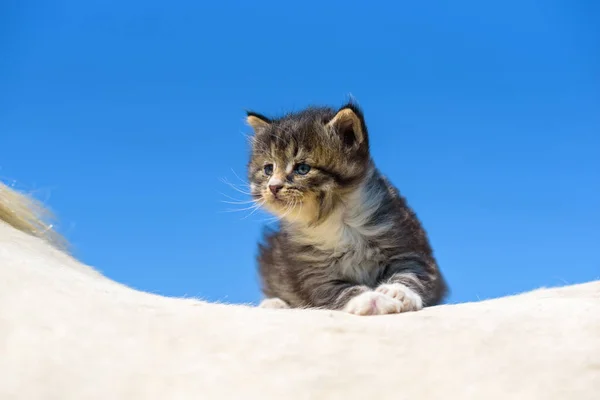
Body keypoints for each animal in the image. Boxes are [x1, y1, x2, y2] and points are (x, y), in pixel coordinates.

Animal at [246, 101, 448, 316]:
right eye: (268, 169)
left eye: (302, 169)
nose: (273, 187)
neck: (335, 217)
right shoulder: (311, 269)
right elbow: (337, 290)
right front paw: (369, 299)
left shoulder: (405, 238)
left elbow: (412, 271)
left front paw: (398, 292)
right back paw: (274, 304)